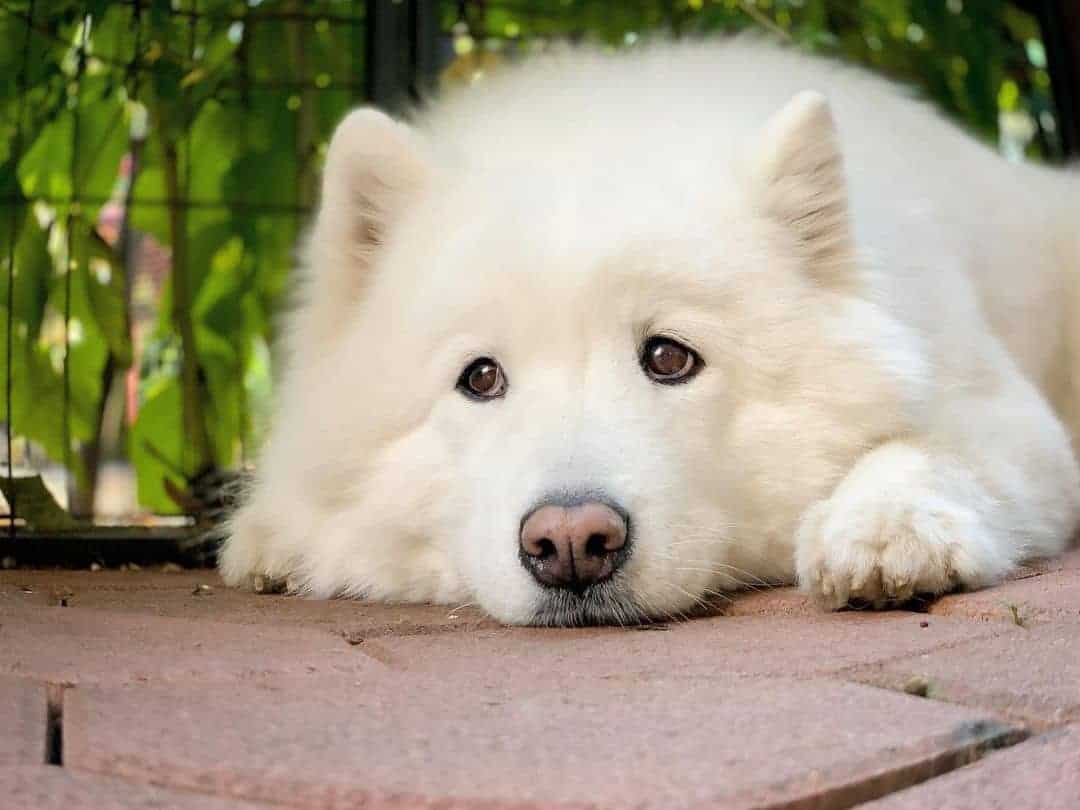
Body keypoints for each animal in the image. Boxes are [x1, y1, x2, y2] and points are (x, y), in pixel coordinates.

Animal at [219, 36, 1080, 626]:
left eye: (668, 357)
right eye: (481, 377)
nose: (571, 542)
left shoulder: (1005, 415)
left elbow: (927, 450)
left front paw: (881, 527)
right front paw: (272, 538)